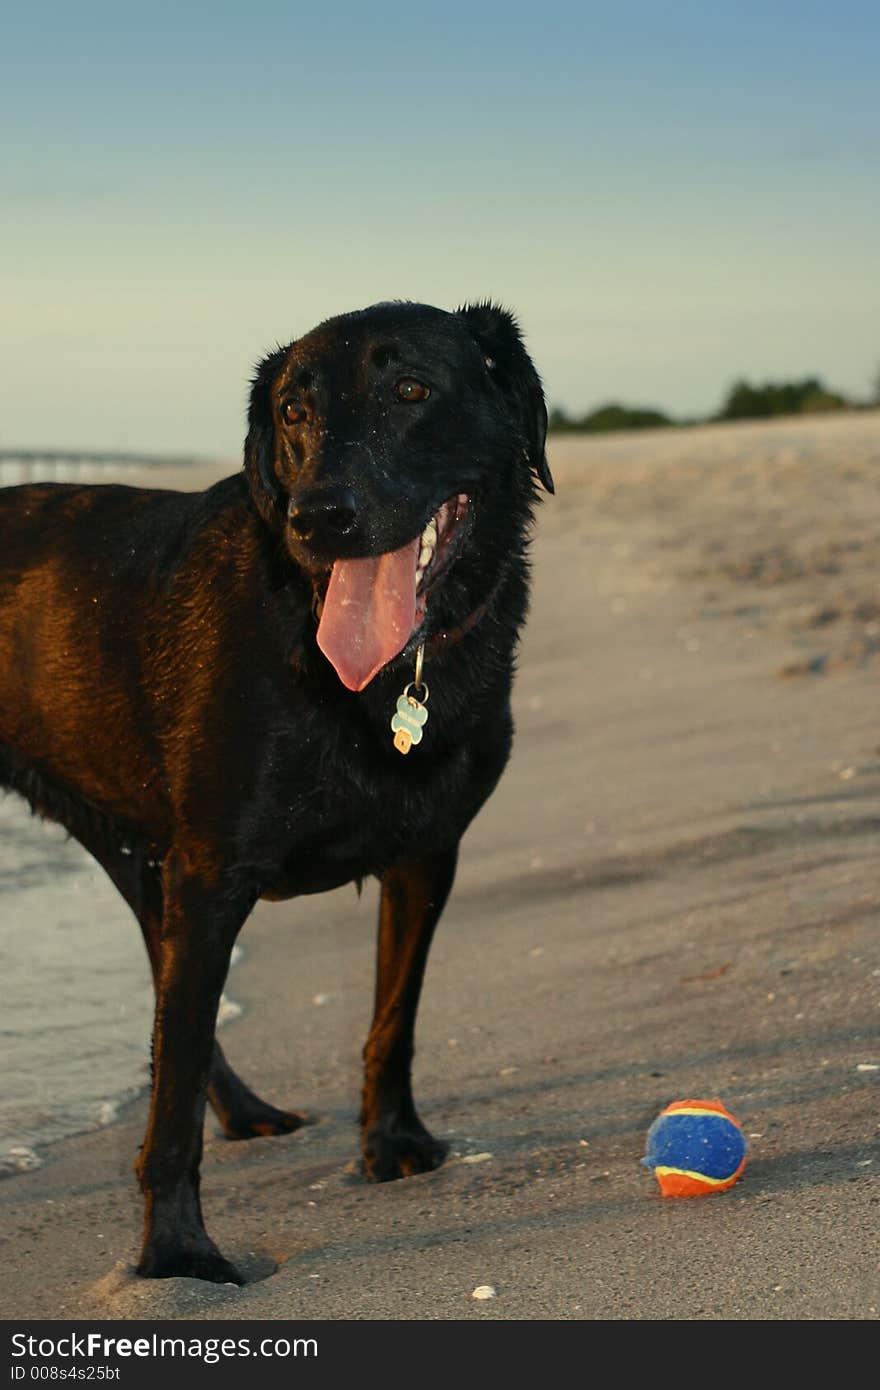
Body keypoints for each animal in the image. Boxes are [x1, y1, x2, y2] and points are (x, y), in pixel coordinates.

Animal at [0, 301, 550, 1278]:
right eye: (294, 412)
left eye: (413, 390)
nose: (319, 517)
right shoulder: (212, 875)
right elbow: (173, 1095)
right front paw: (176, 1256)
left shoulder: (427, 856)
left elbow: (391, 1021)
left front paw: (392, 1146)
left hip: (135, 849)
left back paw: (249, 1113)